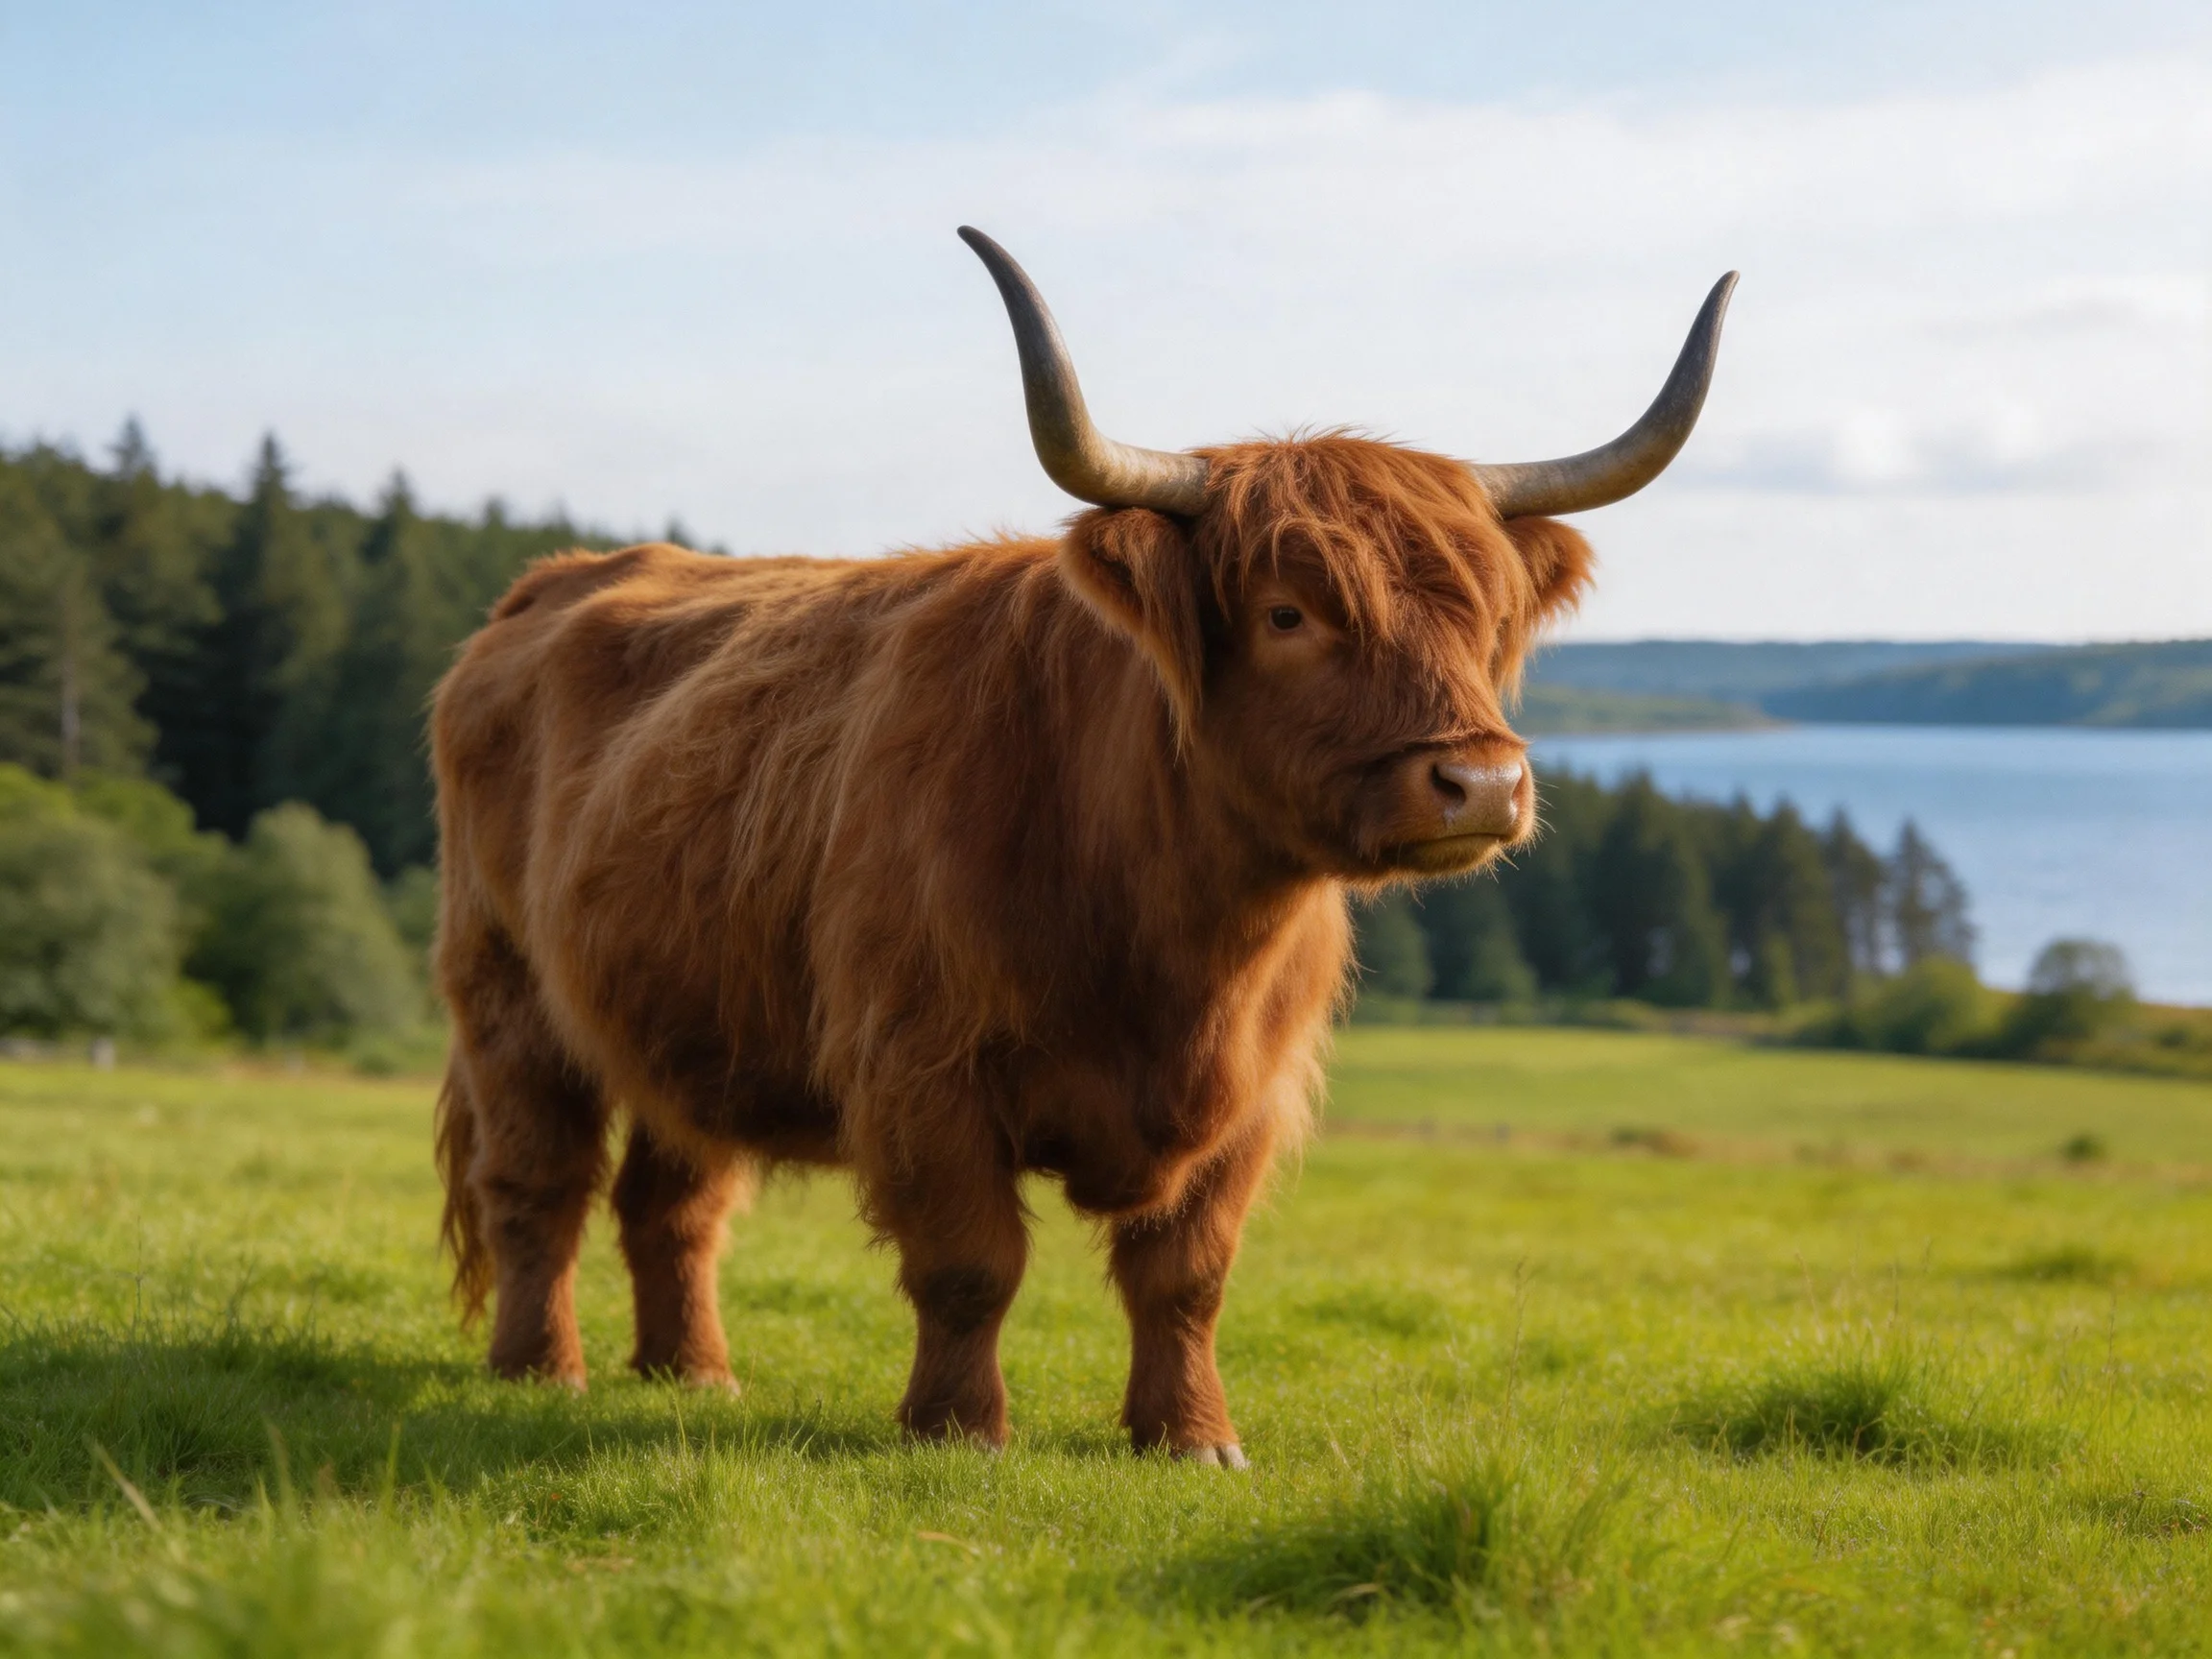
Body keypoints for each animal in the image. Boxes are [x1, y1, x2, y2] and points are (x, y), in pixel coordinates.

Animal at [431, 228, 1734, 1464]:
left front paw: (1193, 1436)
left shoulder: (1252, 1098)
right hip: (508, 992)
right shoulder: (921, 1066)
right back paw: (542, 1369)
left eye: (1486, 617)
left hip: (685, 1009)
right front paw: (959, 1431)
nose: (1481, 783)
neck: (1174, 936)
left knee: (674, 1197)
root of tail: (555, 583)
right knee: (537, 1185)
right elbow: (971, 1265)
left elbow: (1187, 1277)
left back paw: (693, 1374)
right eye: (1287, 613)